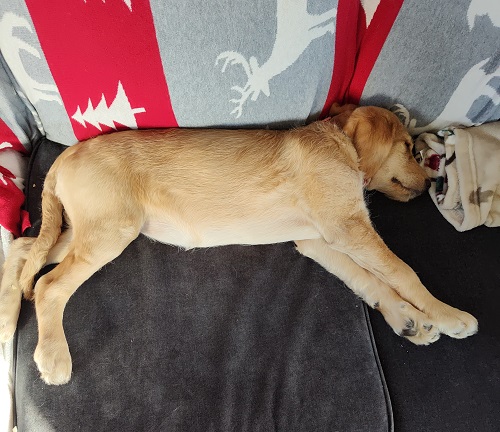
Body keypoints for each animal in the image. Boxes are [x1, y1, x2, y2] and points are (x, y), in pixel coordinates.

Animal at [0, 105, 478, 385]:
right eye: (408, 147)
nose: (431, 183)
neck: (338, 143)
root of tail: (66, 154)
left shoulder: (317, 239)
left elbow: (370, 280)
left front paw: (409, 320)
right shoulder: (346, 226)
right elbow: (401, 270)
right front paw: (450, 316)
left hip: (88, 227)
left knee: (24, 247)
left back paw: (6, 319)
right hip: (111, 229)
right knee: (48, 286)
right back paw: (53, 356)